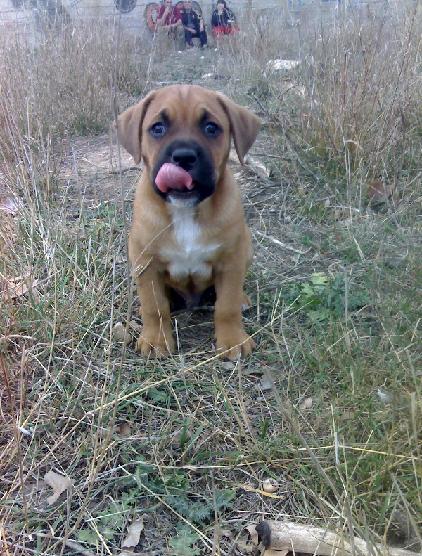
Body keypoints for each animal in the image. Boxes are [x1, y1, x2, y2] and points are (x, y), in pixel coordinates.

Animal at [116, 84, 260, 358]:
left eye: (211, 128)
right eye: (158, 128)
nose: (183, 157)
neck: (186, 212)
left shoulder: (232, 259)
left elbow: (226, 305)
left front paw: (233, 340)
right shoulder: (146, 262)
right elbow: (155, 306)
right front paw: (157, 340)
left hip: (246, 248)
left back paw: (244, 299)